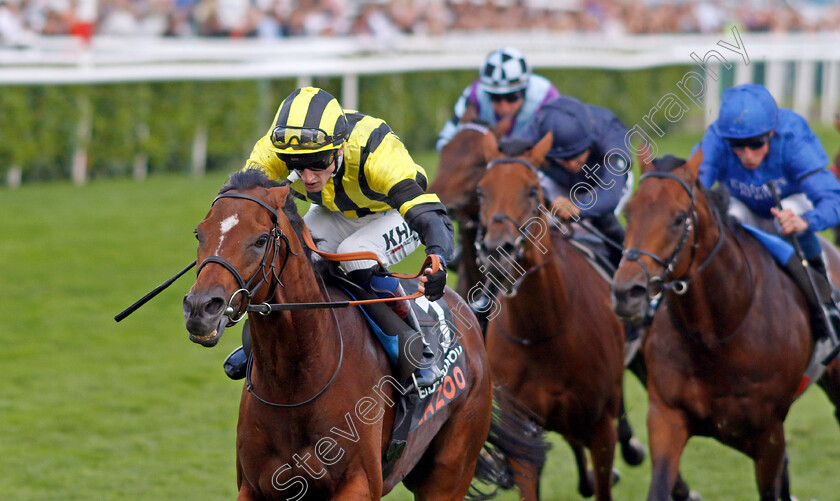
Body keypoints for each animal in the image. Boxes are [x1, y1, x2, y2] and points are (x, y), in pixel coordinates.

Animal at [183, 170, 496, 498]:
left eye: (260, 239)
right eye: (199, 234)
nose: (201, 308)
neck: (295, 381)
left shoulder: (359, 482)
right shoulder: (255, 486)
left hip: (450, 470)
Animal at [476, 131, 628, 498]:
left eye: (533, 191)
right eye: (481, 191)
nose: (498, 250)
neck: (544, 332)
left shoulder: (602, 427)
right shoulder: (523, 429)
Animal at [612, 150, 840, 498]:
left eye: (679, 217)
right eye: (629, 212)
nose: (626, 293)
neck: (716, 336)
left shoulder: (769, 435)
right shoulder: (665, 418)